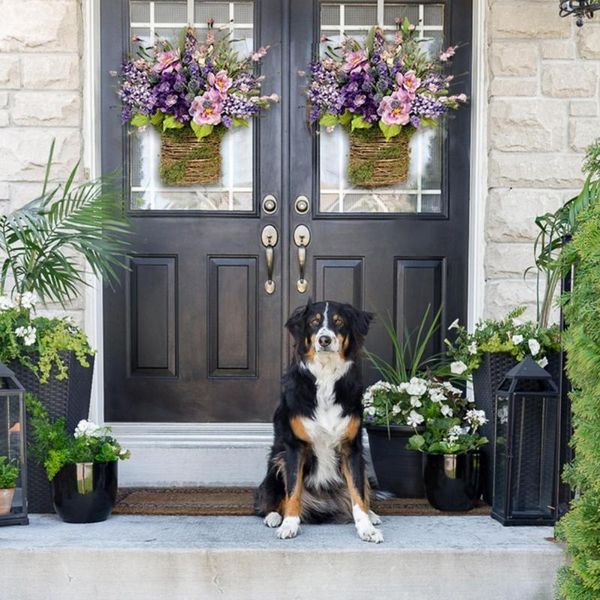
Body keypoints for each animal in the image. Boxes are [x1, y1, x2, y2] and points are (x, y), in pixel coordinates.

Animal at [254, 300, 384, 544]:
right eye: (314, 322)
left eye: (339, 322)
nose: (325, 339)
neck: (325, 377)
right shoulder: (294, 447)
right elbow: (293, 490)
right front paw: (289, 525)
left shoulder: (351, 448)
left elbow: (358, 494)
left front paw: (366, 528)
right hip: (276, 462)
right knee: (271, 499)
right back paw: (274, 517)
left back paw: (372, 515)